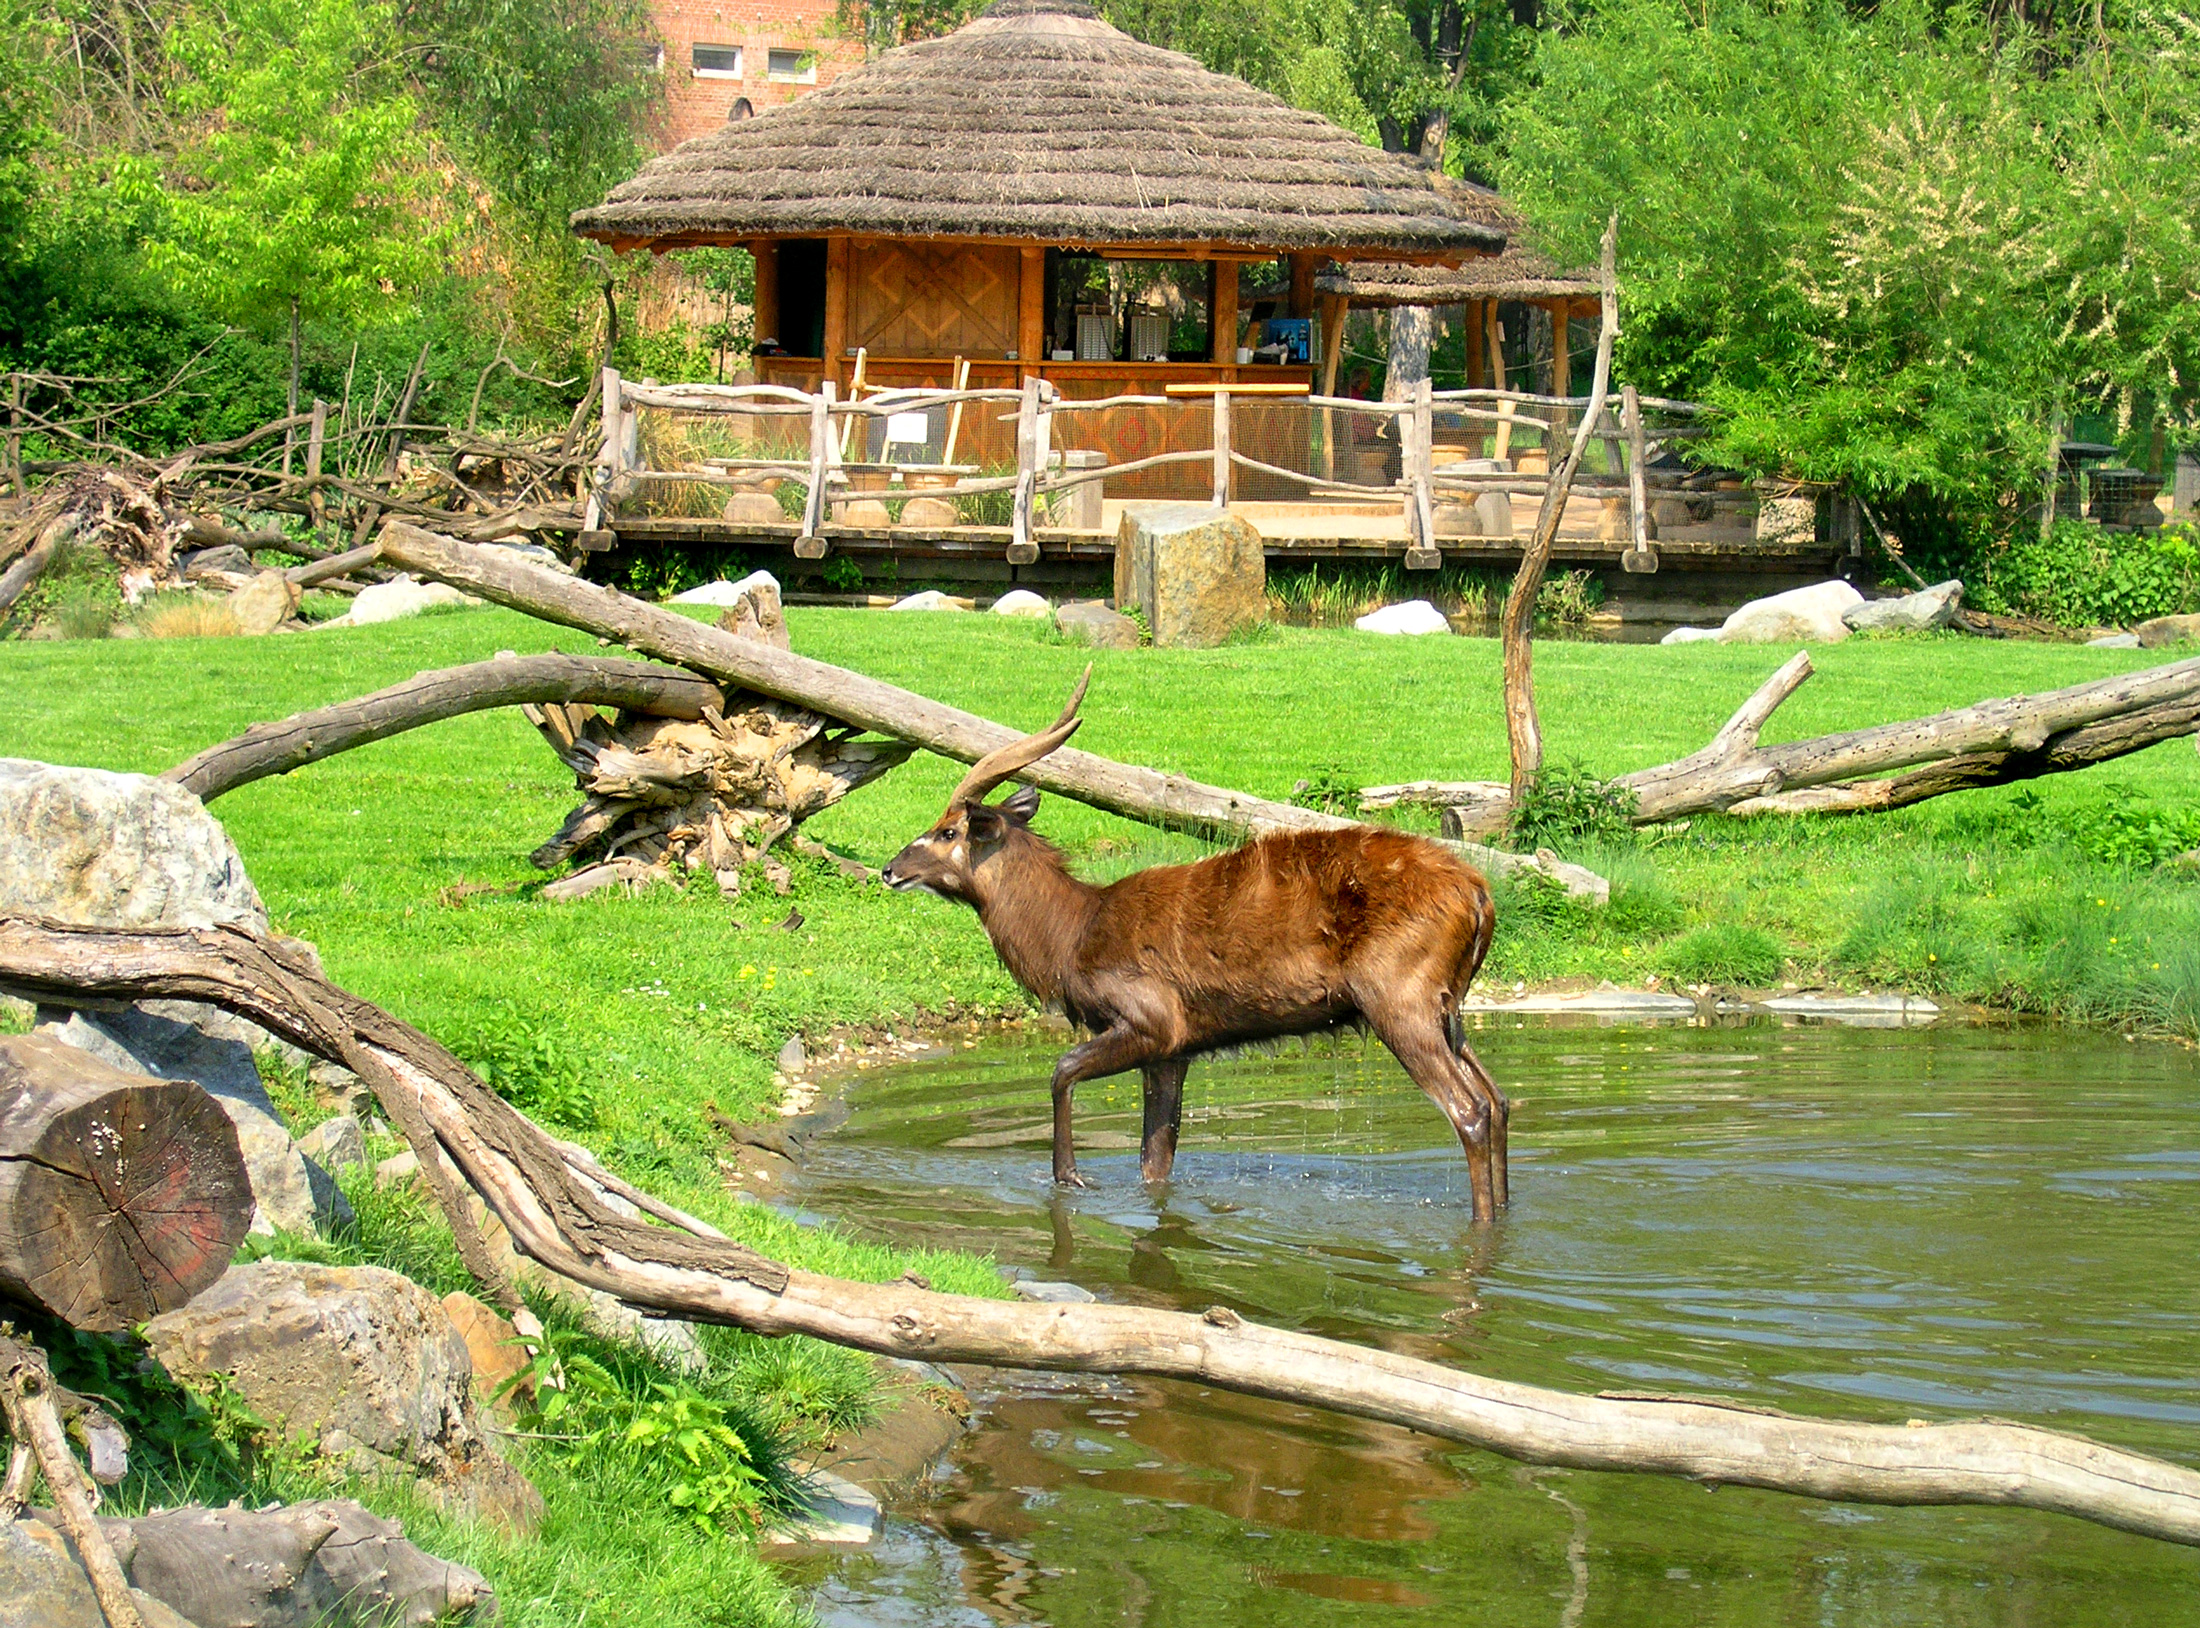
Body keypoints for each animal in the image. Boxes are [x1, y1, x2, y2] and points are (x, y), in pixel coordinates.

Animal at [875, 668, 1513, 1214]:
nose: (889, 869)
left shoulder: (1152, 1020)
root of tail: (1480, 897)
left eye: (948, 831)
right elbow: (1155, 1161)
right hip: (1448, 1007)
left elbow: (1062, 1069)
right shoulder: (1174, 1052)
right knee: (1500, 1101)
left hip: (1399, 1000)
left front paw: (1071, 1176)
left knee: (1471, 1109)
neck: (1073, 935)